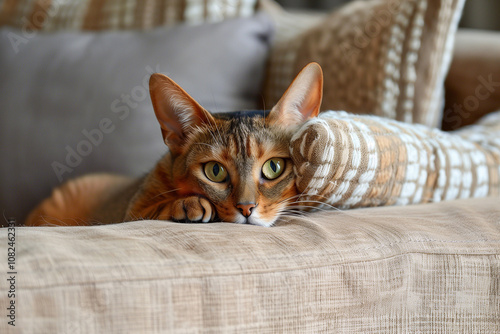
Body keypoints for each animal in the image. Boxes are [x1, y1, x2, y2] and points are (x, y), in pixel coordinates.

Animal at [26, 62, 324, 227]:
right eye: (215, 171)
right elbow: (153, 211)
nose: (246, 208)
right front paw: (188, 204)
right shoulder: (132, 211)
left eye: (274, 167)